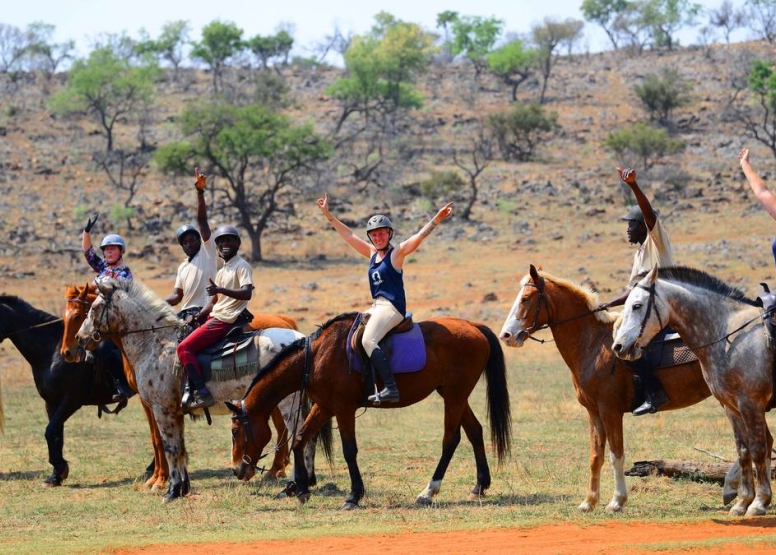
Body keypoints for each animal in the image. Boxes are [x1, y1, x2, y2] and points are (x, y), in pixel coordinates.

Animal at [0, 296, 123, 486]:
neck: (52, 351)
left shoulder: (72, 401)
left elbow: (51, 431)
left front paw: (60, 468)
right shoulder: (51, 402)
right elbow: (56, 434)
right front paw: (56, 475)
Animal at [72, 280, 328, 502]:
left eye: (94, 308)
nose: (79, 338)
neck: (157, 345)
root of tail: (302, 339)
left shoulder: (163, 410)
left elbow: (171, 448)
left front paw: (171, 491)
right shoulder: (175, 412)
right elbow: (181, 449)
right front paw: (182, 489)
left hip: (288, 403)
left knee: (300, 435)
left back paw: (296, 484)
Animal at [226, 310, 516, 510]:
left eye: (235, 431)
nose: (238, 470)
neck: (316, 357)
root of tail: (473, 326)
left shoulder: (343, 409)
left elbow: (349, 450)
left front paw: (353, 496)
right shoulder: (324, 406)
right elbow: (300, 439)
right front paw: (301, 489)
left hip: (454, 397)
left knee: (450, 439)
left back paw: (428, 491)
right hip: (454, 395)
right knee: (475, 431)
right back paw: (480, 485)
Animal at [500, 264, 712, 512]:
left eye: (525, 298)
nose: (506, 335)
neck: (593, 344)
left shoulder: (610, 410)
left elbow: (615, 454)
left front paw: (617, 501)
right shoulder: (594, 412)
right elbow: (596, 456)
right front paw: (589, 501)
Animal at [612, 264, 776, 516]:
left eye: (637, 305)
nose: (618, 346)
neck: (729, 336)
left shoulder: (751, 405)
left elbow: (758, 449)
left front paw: (758, 503)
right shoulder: (732, 408)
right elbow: (744, 450)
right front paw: (742, 502)